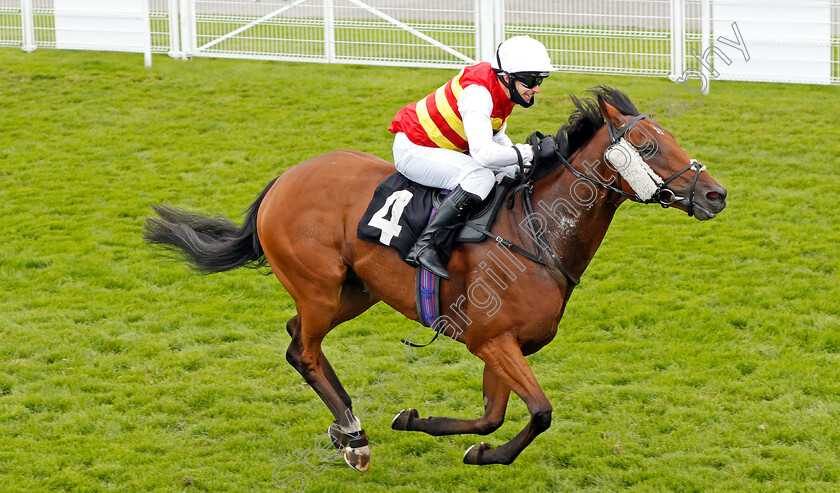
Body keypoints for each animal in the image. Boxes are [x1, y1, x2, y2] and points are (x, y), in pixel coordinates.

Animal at [144, 87, 728, 468]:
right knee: (305, 352)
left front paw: (446, 435)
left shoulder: (504, 344)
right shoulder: (491, 339)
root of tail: (285, 178)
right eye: (648, 146)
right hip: (319, 288)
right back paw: (355, 437)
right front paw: (467, 445)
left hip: (356, 292)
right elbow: (540, 412)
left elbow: (492, 417)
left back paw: (343, 427)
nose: (716, 194)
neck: (536, 232)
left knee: (295, 342)